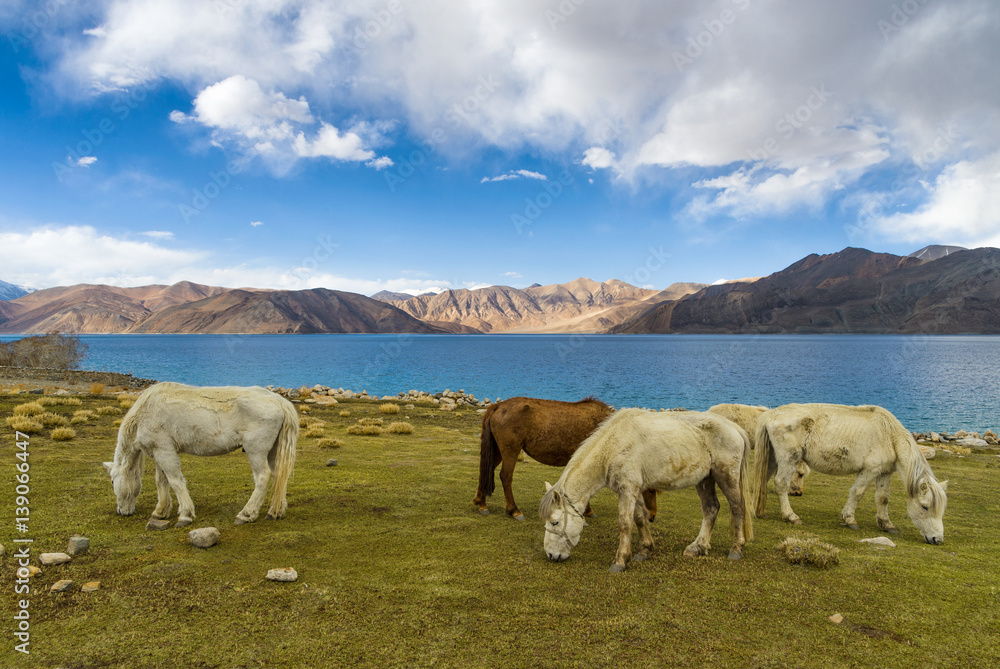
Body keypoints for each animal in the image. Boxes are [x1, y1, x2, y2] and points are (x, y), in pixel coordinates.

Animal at [103, 382, 298, 527]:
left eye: (112, 481)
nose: (121, 512)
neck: (145, 412)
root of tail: (281, 401)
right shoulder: (159, 452)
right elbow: (162, 481)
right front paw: (160, 512)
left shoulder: (165, 451)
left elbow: (175, 480)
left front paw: (185, 515)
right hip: (273, 451)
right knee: (280, 476)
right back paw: (275, 511)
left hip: (255, 451)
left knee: (263, 477)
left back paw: (246, 514)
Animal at [473, 396, 658, 521]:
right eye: (651, 488)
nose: (652, 516)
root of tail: (498, 406)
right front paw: (587, 510)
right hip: (510, 450)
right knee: (505, 476)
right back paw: (514, 510)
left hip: (498, 451)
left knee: (486, 472)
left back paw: (481, 503)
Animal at [539, 408, 754, 572]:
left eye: (555, 522)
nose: (551, 555)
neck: (614, 446)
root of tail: (734, 427)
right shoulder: (632, 490)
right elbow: (639, 518)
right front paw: (644, 550)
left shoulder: (627, 489)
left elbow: (625, 523)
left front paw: (620, 561)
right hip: (704, 479)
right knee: (711, 509)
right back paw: (697, 547)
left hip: (726, 477)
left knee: (737, 508)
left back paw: (736, 549)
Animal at [752, 403, 948, 544]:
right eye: (924, 506)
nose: (937, 539)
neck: (889, 435)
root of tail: (771, 414)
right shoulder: (869, 470)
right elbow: (857, 493)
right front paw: (850, 519)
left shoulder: (885, 472)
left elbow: (883, 498)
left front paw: (887, 524)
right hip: (789, 458)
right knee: (781, 483)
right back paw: (790, 516)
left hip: (772, 458)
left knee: (764, 480)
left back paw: (759, 512)